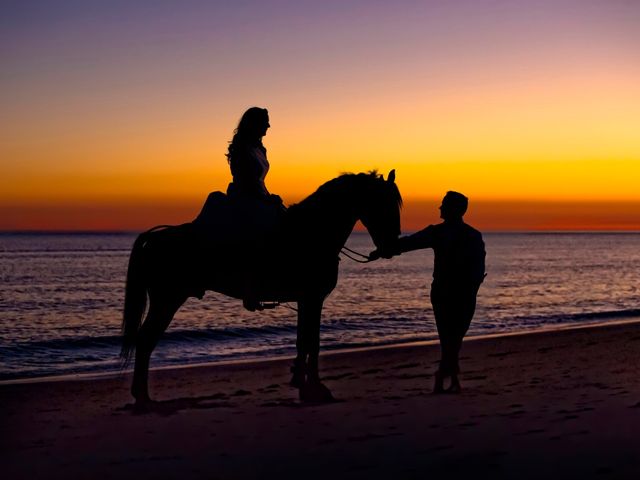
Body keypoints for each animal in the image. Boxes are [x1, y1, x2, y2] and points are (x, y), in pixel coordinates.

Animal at [121, 171, 400, 404]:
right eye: (383, 205)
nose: (391, 247)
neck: (309, 235)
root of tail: (154, 237)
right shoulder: (312, 299)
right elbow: (312, 342)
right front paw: (315, 386)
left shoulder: (306, 300)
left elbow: (304, 341)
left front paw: (302, 380)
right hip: (166, 300)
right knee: (145, 341)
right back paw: (142, 396)